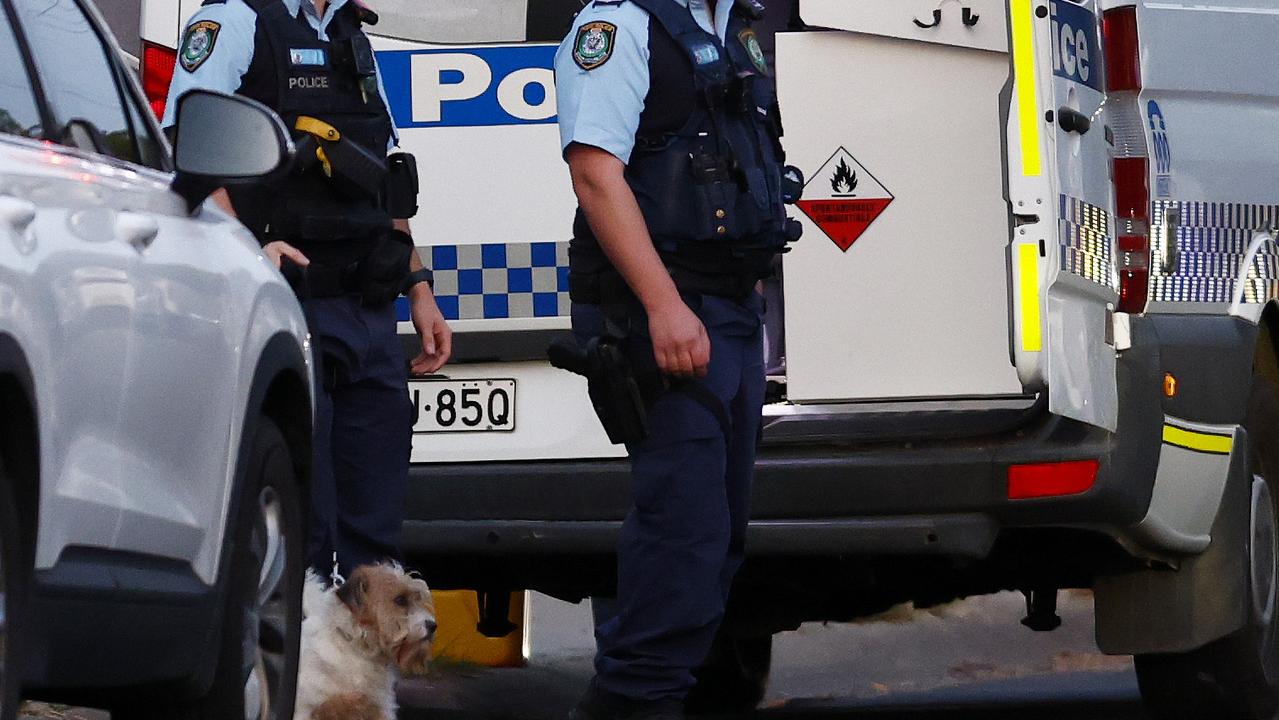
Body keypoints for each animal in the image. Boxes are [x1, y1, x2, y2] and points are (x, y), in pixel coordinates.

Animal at [294, 565, 439, 716]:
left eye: (418, 598)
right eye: (400, 600)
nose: (433, 626)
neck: (357, 648)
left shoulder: (379, 707)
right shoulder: (306, 710)